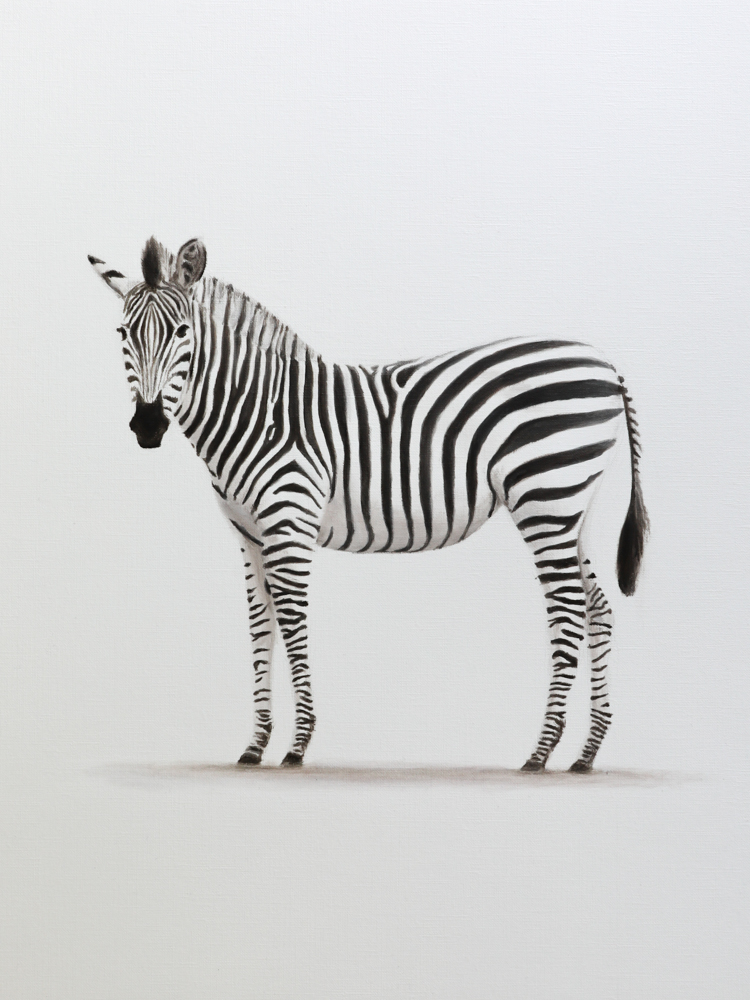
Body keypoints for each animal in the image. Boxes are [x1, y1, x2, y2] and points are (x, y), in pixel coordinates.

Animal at [88, 237, 648, 772]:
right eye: (122, 334)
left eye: (183, 332)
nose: (147, 426)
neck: (256, 410)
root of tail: (604, 361)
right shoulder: (249, 535)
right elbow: (260, 627)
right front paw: (255, 745)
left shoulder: (289, 521)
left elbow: (291, 619)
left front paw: (298, 743)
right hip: (571, 508)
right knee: (597, 607)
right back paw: (585, 753)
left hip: (545, 497)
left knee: (569, 610)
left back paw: (541, 751)